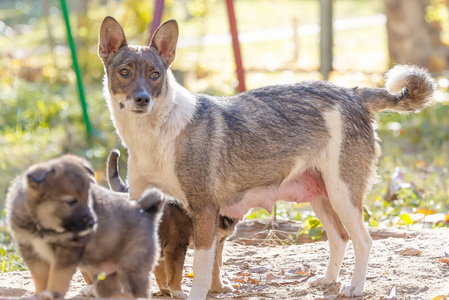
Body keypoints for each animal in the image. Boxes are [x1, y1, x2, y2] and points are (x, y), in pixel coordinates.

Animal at [5, 156, 163, 298]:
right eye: (70, 202)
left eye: (88, 199)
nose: (93, 223)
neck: (42, 228)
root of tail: (146, 212)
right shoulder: (32, 251)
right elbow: (41, 278)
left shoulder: (67, 252)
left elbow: (58, 277)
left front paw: (53, 293)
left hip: (132, 265)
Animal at [97, 17, 434, 300]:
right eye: (124, 72)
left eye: (155, 75)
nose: (142, 99)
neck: (156, 133)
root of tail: (353, 93)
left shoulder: (204, 211)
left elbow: (202, 272)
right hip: (321, 196)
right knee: (339, 238)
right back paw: (328, 280)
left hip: (343, 194)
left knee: (363, 241)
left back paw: (355, 287)